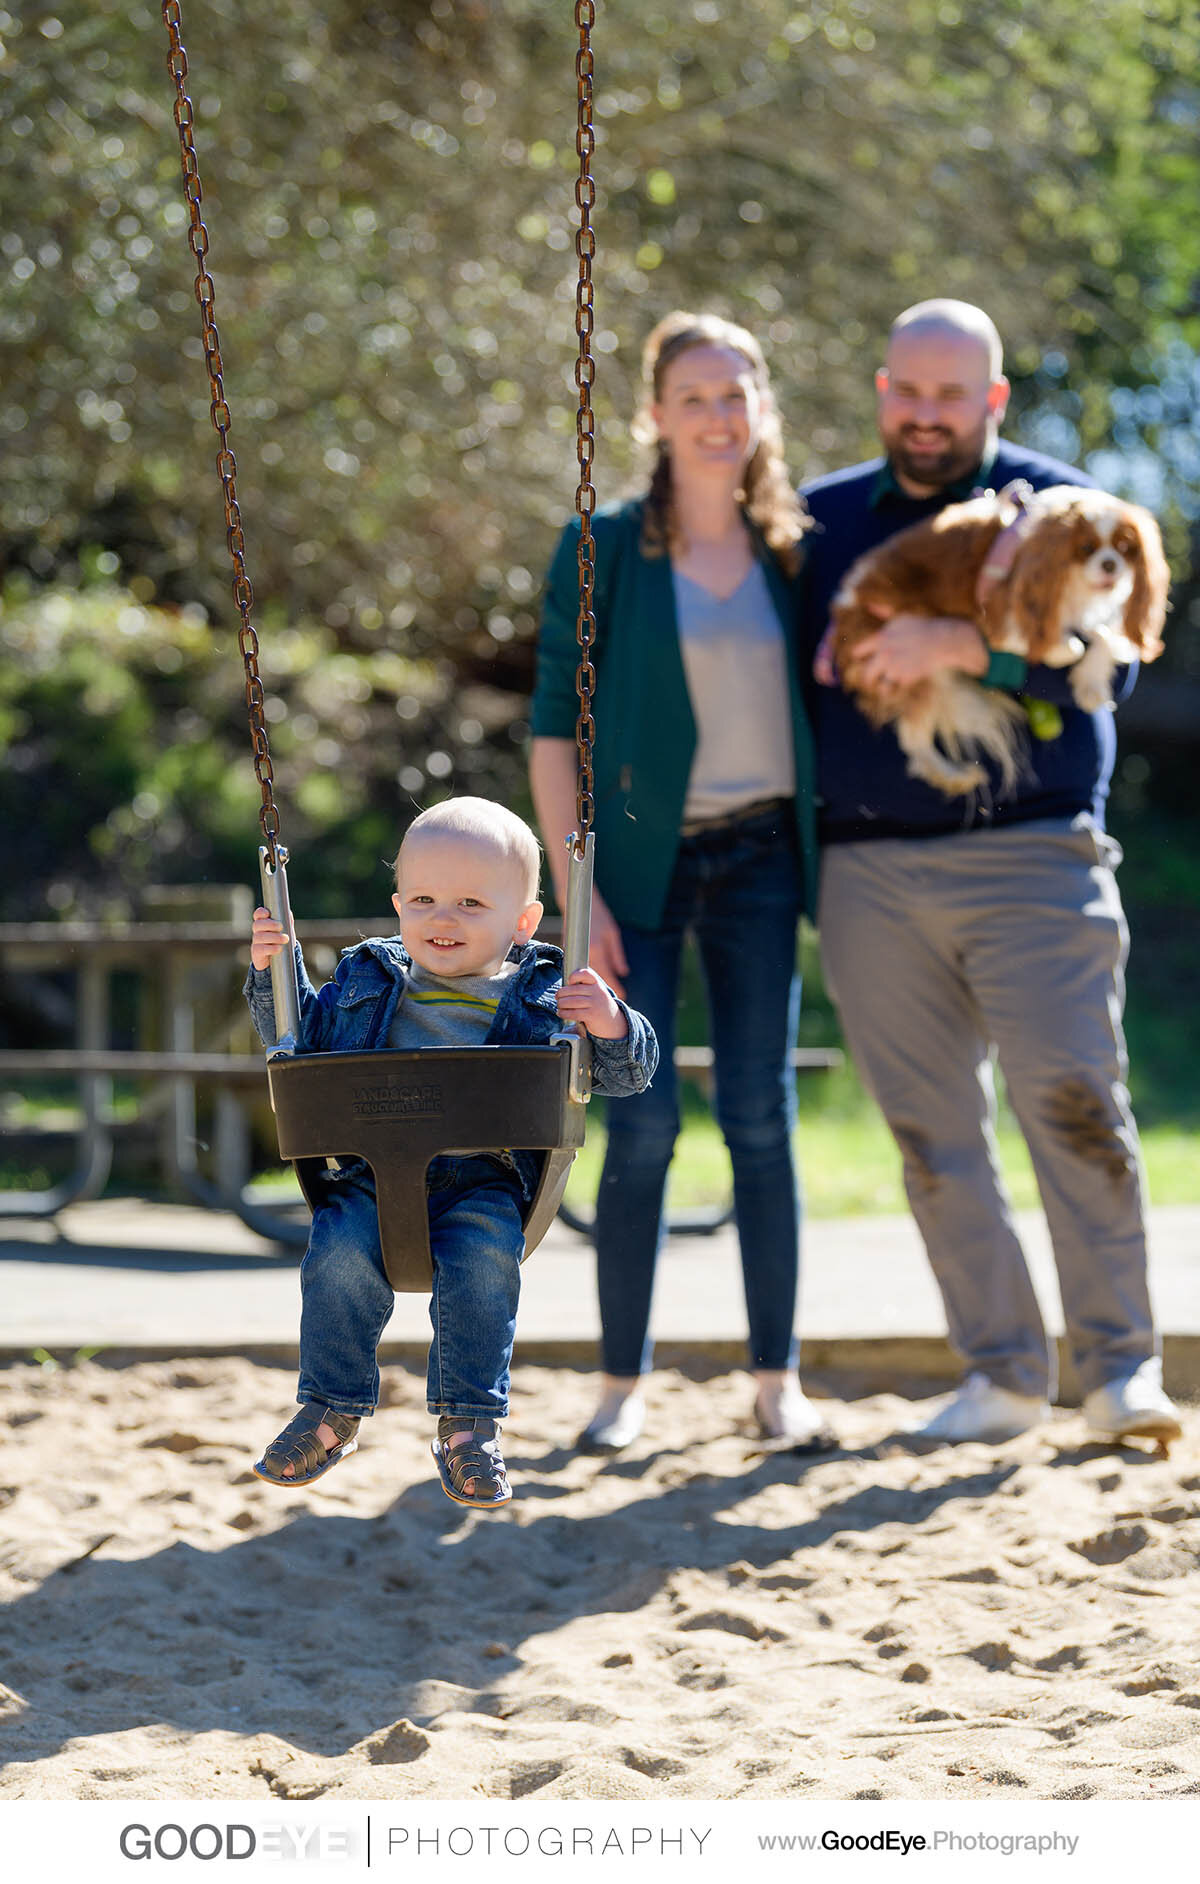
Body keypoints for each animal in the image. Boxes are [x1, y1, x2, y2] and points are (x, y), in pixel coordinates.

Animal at [828, 482, 1167, 798]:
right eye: (1086, 547)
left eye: (1125, 548)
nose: (1110, 564)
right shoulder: (1003, 613)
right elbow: (1049, 639)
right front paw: (1062, 649)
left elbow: (1103, 635)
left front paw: (1091, 683)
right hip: (917, 661)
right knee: (913, 739)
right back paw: (950, 774)